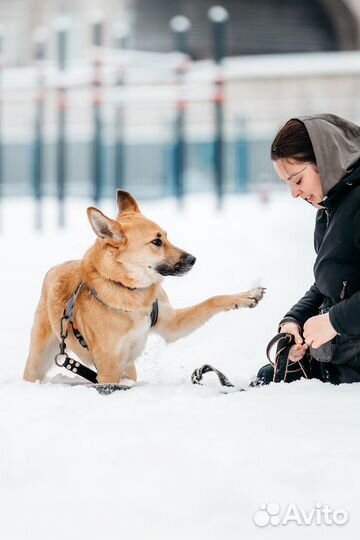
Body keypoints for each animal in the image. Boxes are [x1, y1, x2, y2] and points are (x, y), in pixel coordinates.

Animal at [22, 190, 264, 384]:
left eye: (166, 236)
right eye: (156, 242)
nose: (193, 259)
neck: (131, 292)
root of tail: (55, 268)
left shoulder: (170, 325)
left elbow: (212, 300)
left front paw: (246, 296)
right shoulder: (108, 368)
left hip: (128, 367)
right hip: (39, 360)